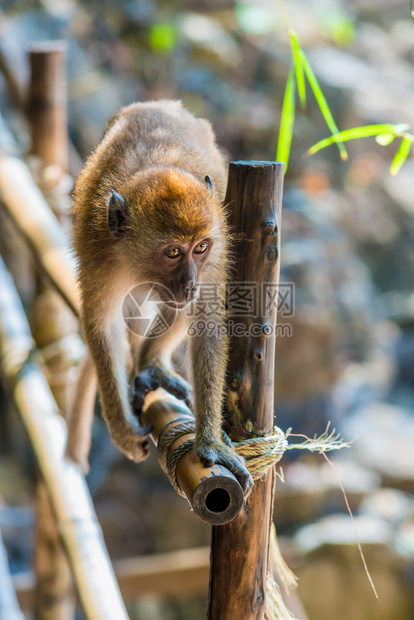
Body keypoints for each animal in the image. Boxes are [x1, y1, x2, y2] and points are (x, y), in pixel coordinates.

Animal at [66, 98, 252, 494]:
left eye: (200, 247)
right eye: (173, 252)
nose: (190, 281)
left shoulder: (215, 251)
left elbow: (207, 323)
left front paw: (210, 442)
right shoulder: (99, 253)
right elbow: (102, 325)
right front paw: (120, 426)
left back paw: (151, 363)